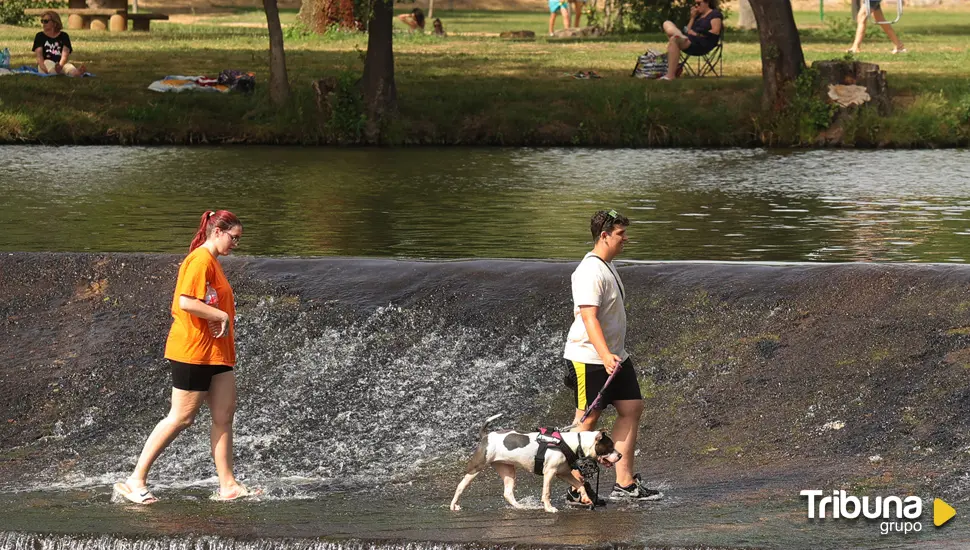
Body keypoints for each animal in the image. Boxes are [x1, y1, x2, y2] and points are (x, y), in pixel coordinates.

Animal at [448, 416, 620, 516]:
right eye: (610, 447)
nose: (620, 455)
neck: (573, 444)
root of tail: (486, 436)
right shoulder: (549, 472)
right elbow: (546, 492)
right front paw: (549, 508)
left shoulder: (563, 473)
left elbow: (580, 484)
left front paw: (585, 498)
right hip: (476, 468)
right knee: (460, 486)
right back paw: (453, 505)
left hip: (507, 470)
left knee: (508, 493)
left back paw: (521, 507)